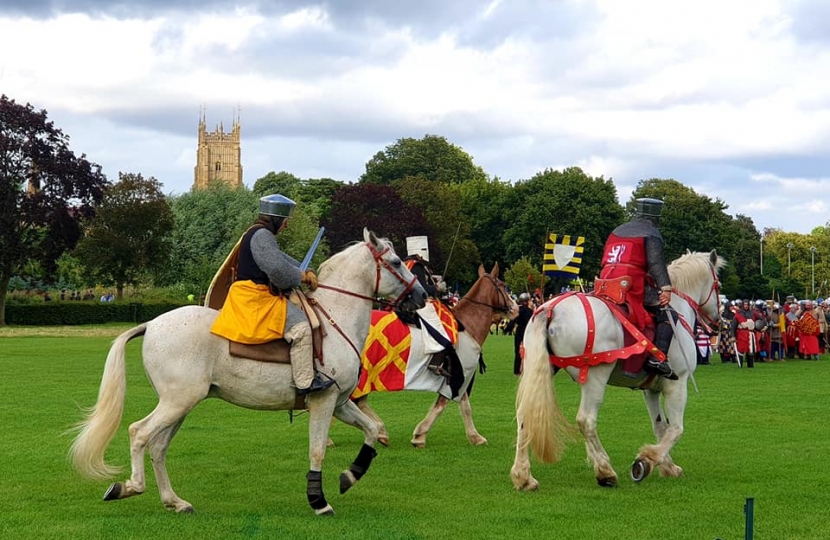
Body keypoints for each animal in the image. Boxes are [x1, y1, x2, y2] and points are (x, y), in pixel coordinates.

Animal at [70, 228, 428, 516]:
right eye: (396, 262)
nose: (423, 296)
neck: (335, 317)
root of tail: (152, 324)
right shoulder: (324, 401)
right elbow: (317, 450)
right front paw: (319, 501)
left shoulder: (339, 403)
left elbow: (371, 429)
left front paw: (350, 476)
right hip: (177, 402)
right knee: (139, 433)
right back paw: (129, 487)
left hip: (181, 404)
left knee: (158, 446)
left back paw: (175, 501)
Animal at [510, 251, 724, 492]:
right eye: (718, 285)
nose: (719, 323)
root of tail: (551, 309)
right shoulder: (677, 384)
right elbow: (676, 429)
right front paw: (646, 461)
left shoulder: (651, 389)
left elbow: (660, 426)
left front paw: (667, 466)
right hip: (596, 376)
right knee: (586, 420)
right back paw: (605, 471)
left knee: (524, 415)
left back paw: (524, 477)